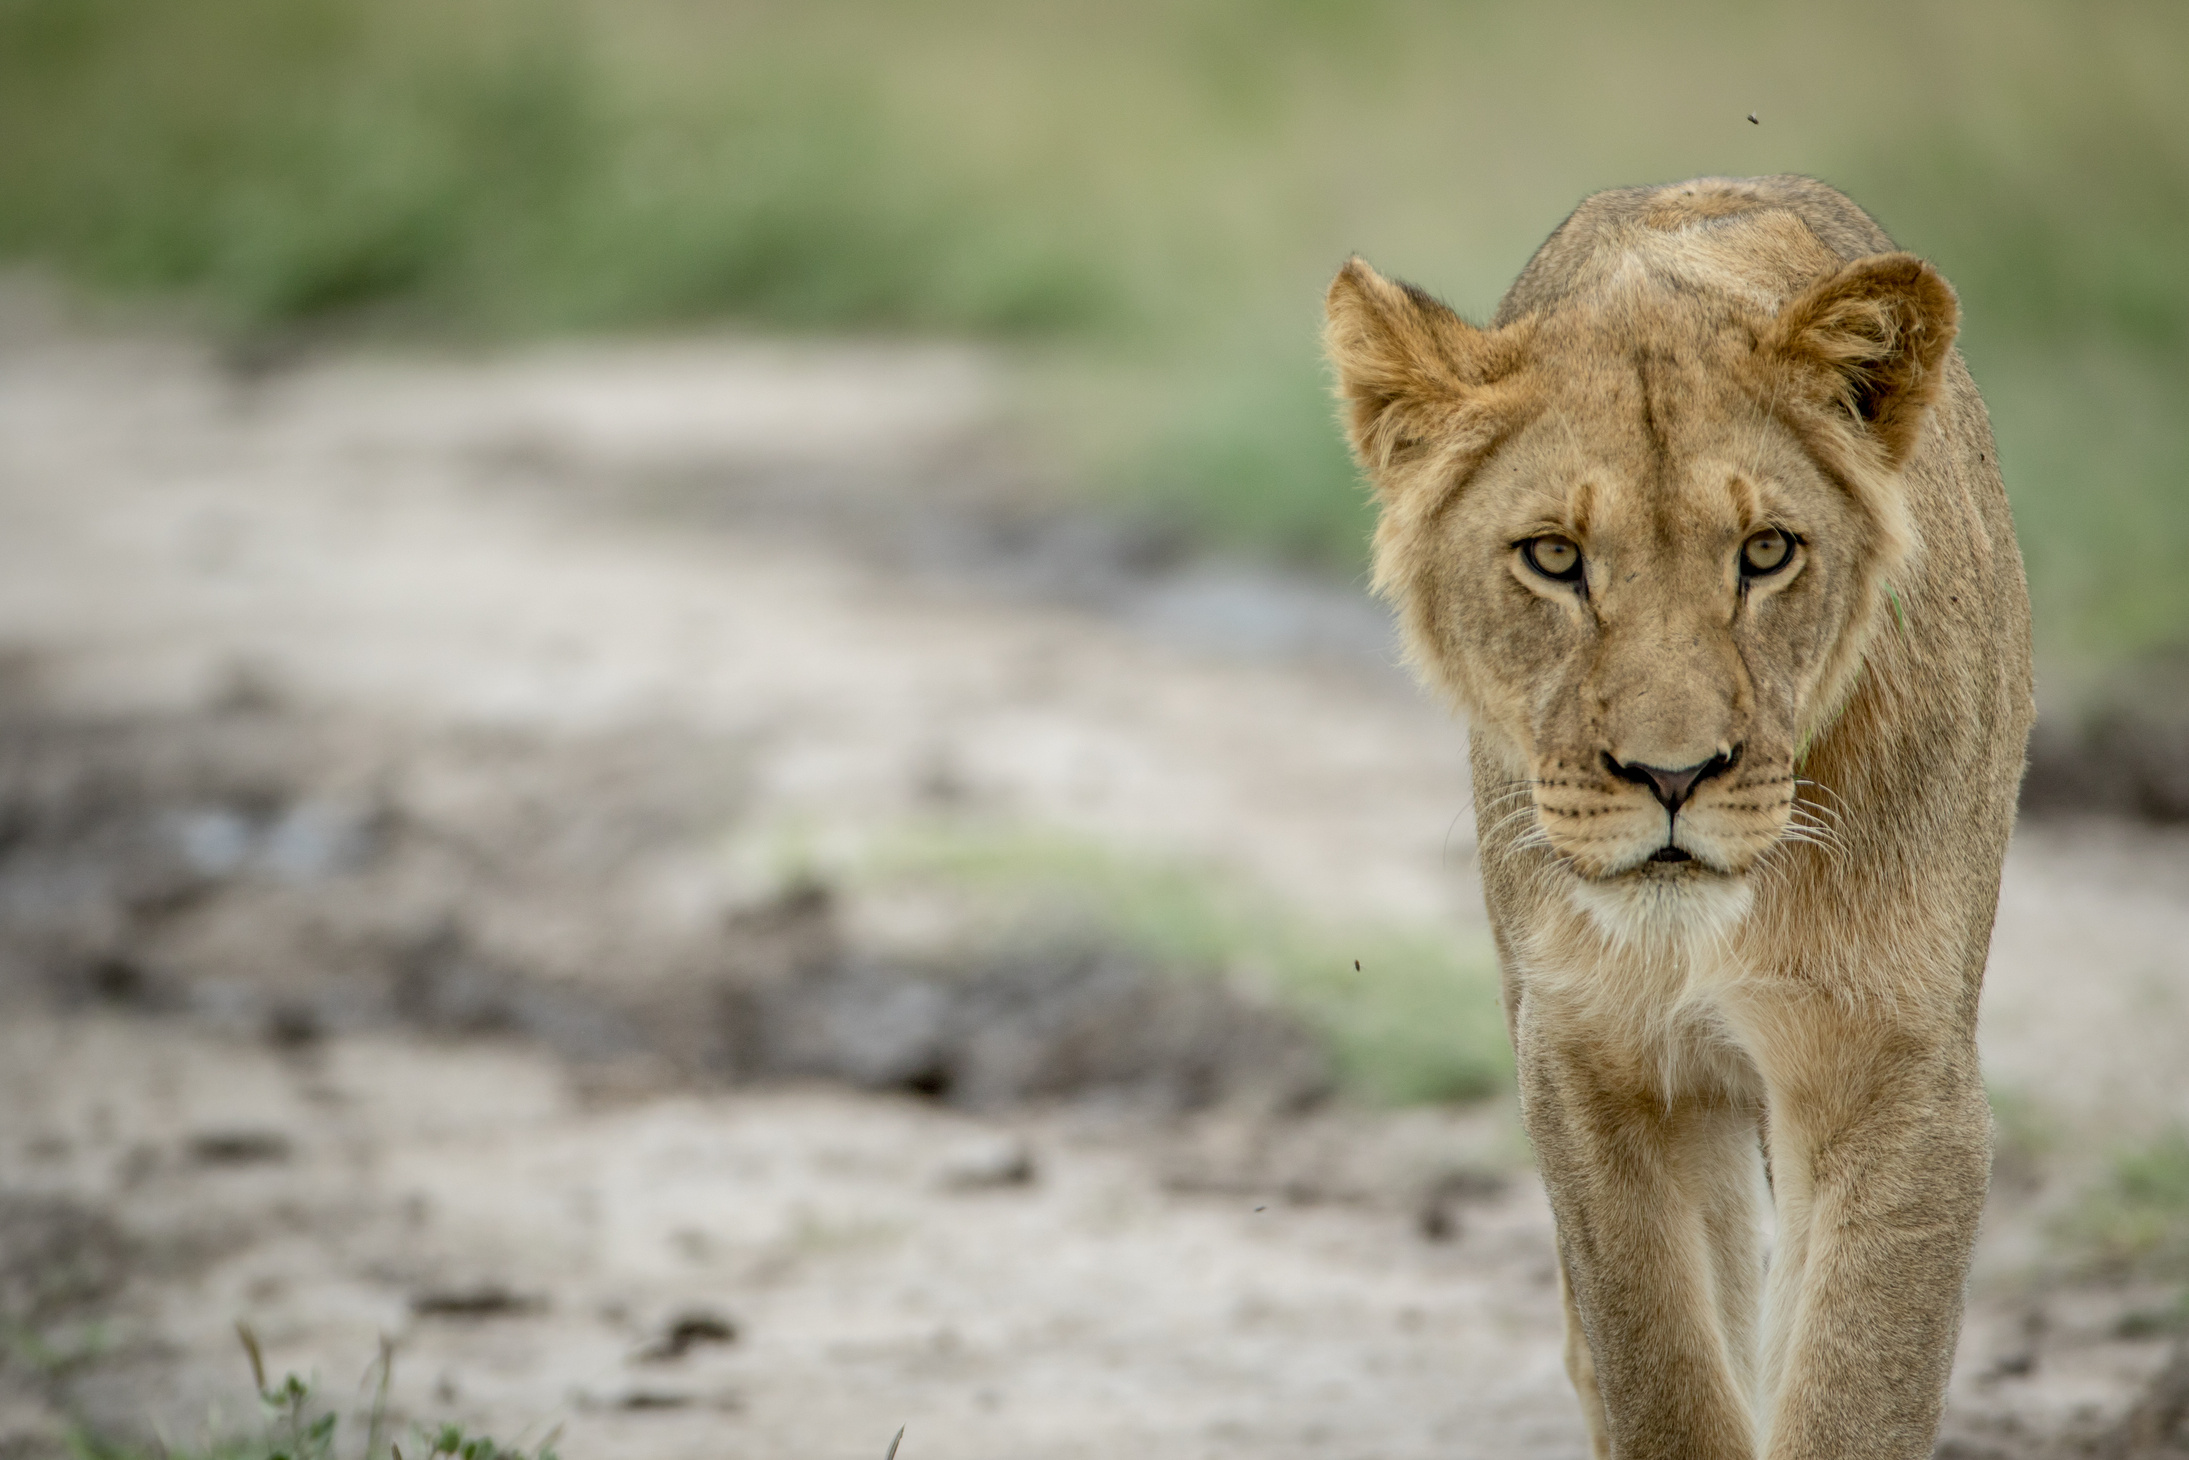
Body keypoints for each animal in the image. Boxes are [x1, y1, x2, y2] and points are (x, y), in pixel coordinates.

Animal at [1330, 179, 2031, 1460]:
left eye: (1765, 551)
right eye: (1553, 556)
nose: (1672, 775)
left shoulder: (1892, 1060)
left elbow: (1857, 1384)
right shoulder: (1593, 1060)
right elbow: (1656, 1374)